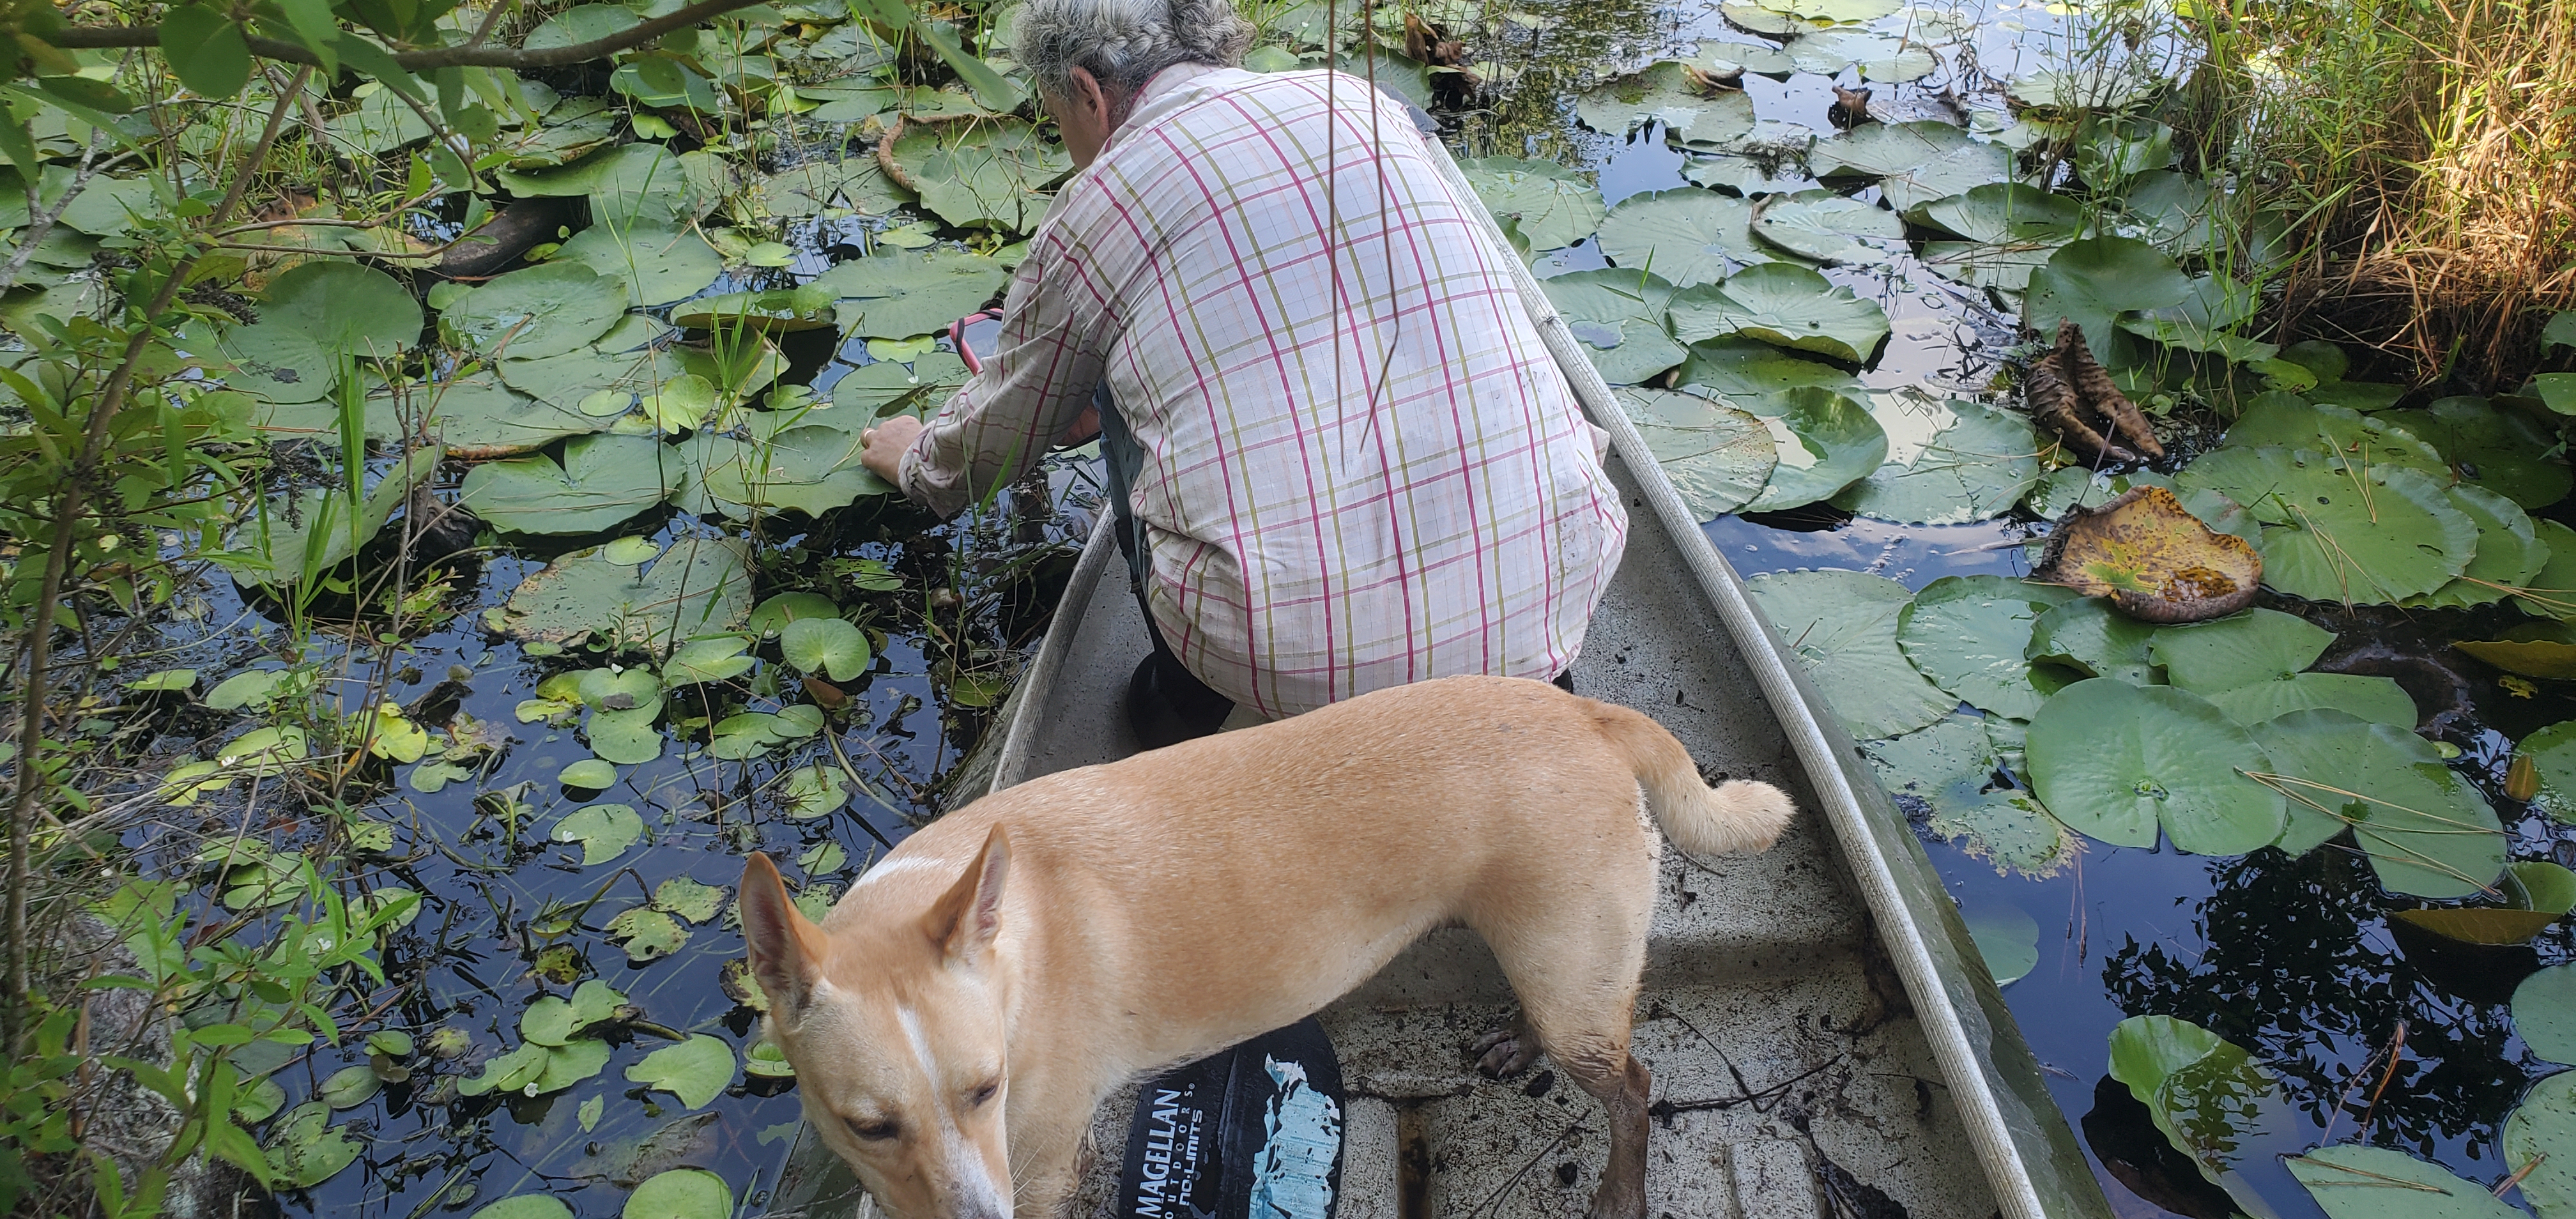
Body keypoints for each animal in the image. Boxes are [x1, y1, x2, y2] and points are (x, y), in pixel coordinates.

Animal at [742, 675, 1793, 1216]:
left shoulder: (1035, 1160)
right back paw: (1515, 1045)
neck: (1007, 947)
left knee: (1635, 1091)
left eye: (984, 1090)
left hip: (1574, 971)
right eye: (868, 1126)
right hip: (1551, 962)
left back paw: (1619, 1191)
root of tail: (1585, 712)